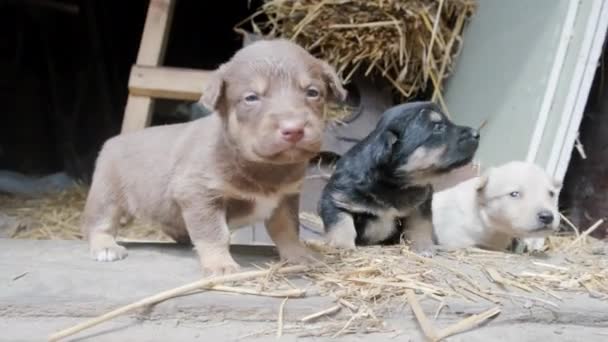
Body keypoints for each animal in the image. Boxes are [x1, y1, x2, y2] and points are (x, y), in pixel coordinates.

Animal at [82, 39, 346, 276]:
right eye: (251, 98)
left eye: (313, 93)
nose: (294, 129)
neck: (265, 167)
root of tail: (113, 140)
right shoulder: (199, 194)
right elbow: (214, 233)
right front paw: (220, 264)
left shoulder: (286, 197)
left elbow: (288, 230)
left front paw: (300, 255)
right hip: (106, 194)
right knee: (99, 223)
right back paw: (106, 248)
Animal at [318, 101, 480, 256]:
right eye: (438, 127)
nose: (477, 133)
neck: (395, 184)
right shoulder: (336, 197)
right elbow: (342, 224)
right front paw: (343, 247)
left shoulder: (420, 206)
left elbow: (421, 226)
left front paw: (424, 247)